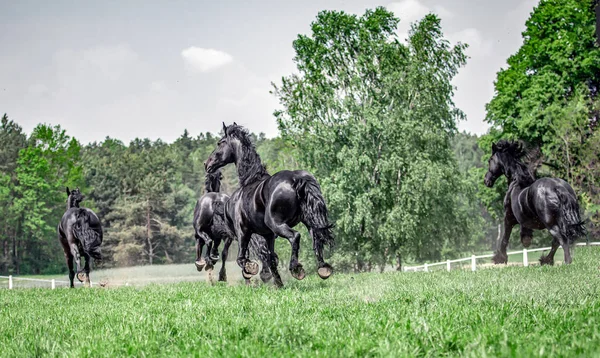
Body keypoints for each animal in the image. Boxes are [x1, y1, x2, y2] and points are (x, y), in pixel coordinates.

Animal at [204, 121, 336, 286]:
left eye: (220, 143)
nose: (207, 164)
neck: (250, 180)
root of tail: (296, 179)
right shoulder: (268, 235)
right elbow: (271, 258)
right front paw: (278, 284)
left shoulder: (243, 231)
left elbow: (242, 259)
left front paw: (251, 270)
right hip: (308, 221)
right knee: (317, 238)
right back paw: (323, 268)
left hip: (276, 223)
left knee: (295, 236)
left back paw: (296, 268)